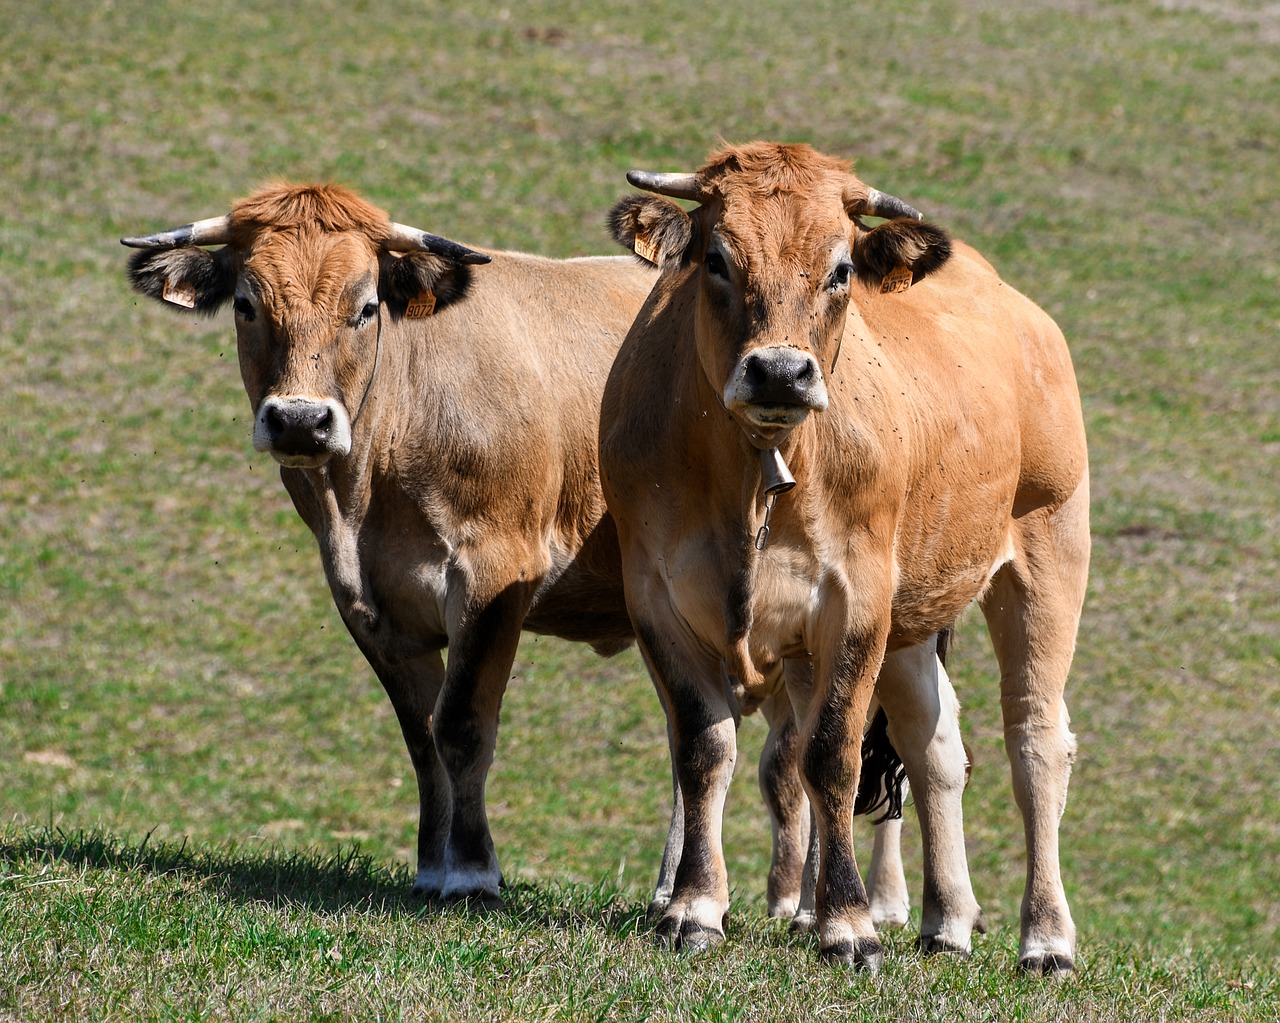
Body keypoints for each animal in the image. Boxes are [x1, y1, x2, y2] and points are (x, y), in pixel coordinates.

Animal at [120, 180, 947, 916]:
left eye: (364, 307)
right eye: (248, 304)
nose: (299, 419)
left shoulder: (496, 576)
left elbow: (461, 725)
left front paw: (471, 872)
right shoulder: (370, 604)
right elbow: (421, 738)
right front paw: (430, 865)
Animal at [601, 144, 1090, 978]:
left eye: (839, 270)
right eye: (717, 259)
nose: (779, 371)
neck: (756, 473)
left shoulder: (855, 599)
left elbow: (831, 755)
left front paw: (848, 922)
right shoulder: (657, 594)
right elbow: (703, 748)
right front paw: (695, 907)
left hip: (1048, 553)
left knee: (1035, 739)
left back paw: (1047, 938)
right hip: (913, 613)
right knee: (934, 744)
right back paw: (946, 921)